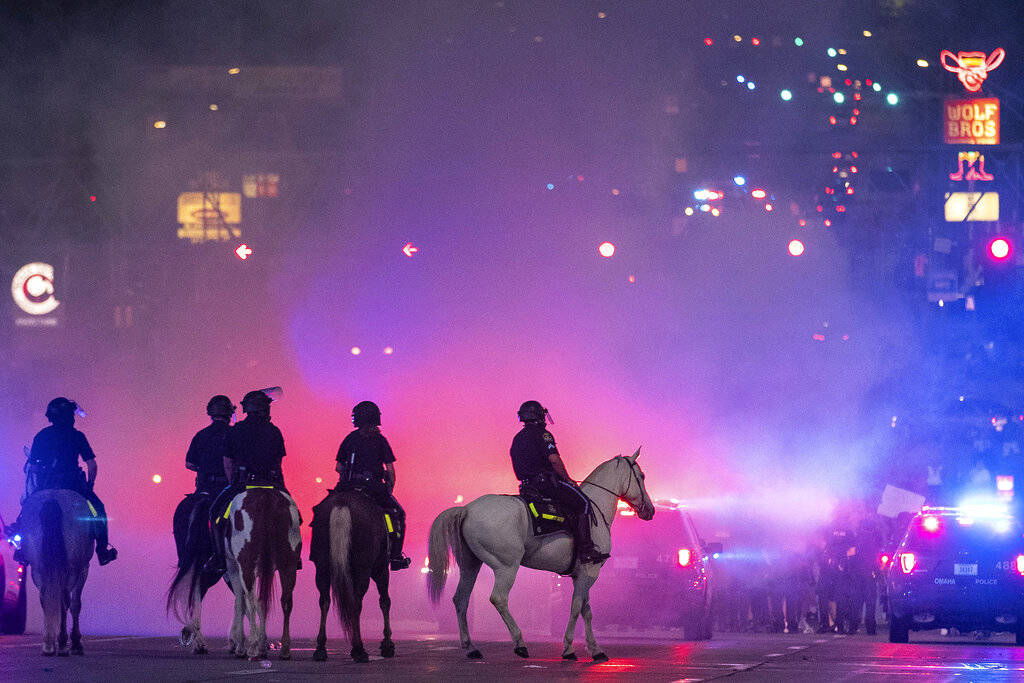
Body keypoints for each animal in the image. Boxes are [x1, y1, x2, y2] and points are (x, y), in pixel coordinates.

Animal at [222, 489, 301, 659]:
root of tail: (266, 496)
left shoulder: (233, 567)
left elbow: (241, 602)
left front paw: (240, 644)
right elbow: (261, 602)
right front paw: (262, 643)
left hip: (246, 563)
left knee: (250, 601)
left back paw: (251, 647)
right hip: (288, 563)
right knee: (286, 601)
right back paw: (284, 649)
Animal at [309, 491, 393, 663]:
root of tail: (342, 503)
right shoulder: (381, 569)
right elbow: (385, 601)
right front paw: (387, 644)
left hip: (322, 565)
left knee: (324, 600)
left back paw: (320, 649)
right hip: (364, 567)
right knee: (356, 602)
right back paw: (358, 649)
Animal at [425, 448, 651, 663]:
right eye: (641, 476)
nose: (650, 510)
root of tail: (467, 509)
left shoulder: (583, 574)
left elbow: (586, 610)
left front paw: (596, 650)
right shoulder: (590, 572)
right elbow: (576, 608)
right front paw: (569, 649)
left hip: (470, 565)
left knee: (460, 599)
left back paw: (471, 648)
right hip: (506, 567)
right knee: (498, 598)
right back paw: (520, 643)